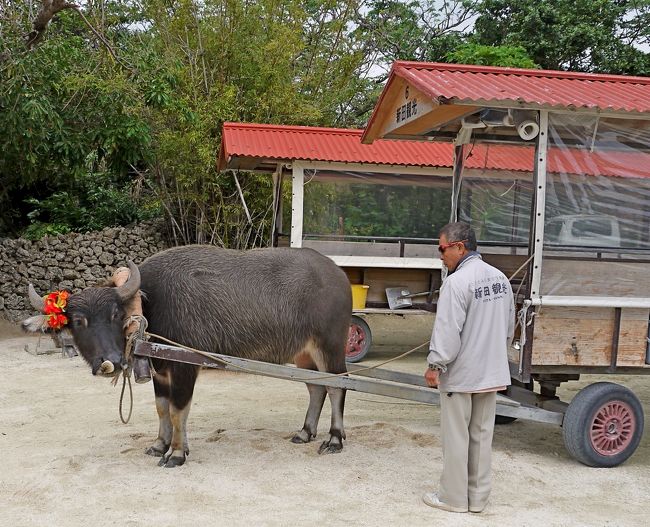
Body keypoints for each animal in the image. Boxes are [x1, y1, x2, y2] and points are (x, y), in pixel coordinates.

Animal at [24, 245, 350, 468]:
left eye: (115, 314)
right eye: (78, 322)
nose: (111, 362)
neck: (150, 306)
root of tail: (338, 274)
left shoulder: (184, 367)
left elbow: (178, 410)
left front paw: (178, 453)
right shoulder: (160, 370)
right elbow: (161, 408)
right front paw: (160, 445)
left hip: (331, 347)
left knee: (337, 386)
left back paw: (334, 438)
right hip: (304, 354)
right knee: (316, 387)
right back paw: (305, 432)